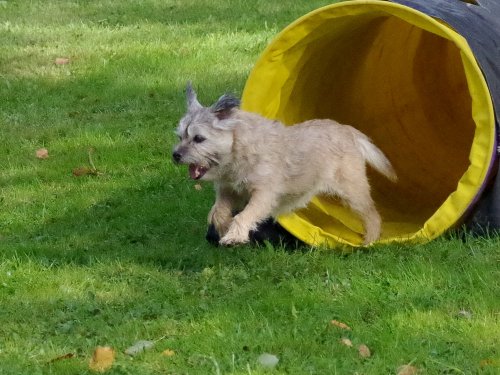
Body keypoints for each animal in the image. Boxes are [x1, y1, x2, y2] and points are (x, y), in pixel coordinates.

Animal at [174, 82, 396, 247]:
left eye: (199, 139)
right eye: (179, 137)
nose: (175, 155)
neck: (237, 151)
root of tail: (347, 130)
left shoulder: (263, 195)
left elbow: (245, 214)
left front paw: (234, 236)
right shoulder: (227, 190)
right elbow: (217, 212)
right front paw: (223, 228)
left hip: (353, 190)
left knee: (372, 214)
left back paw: (370, 241)